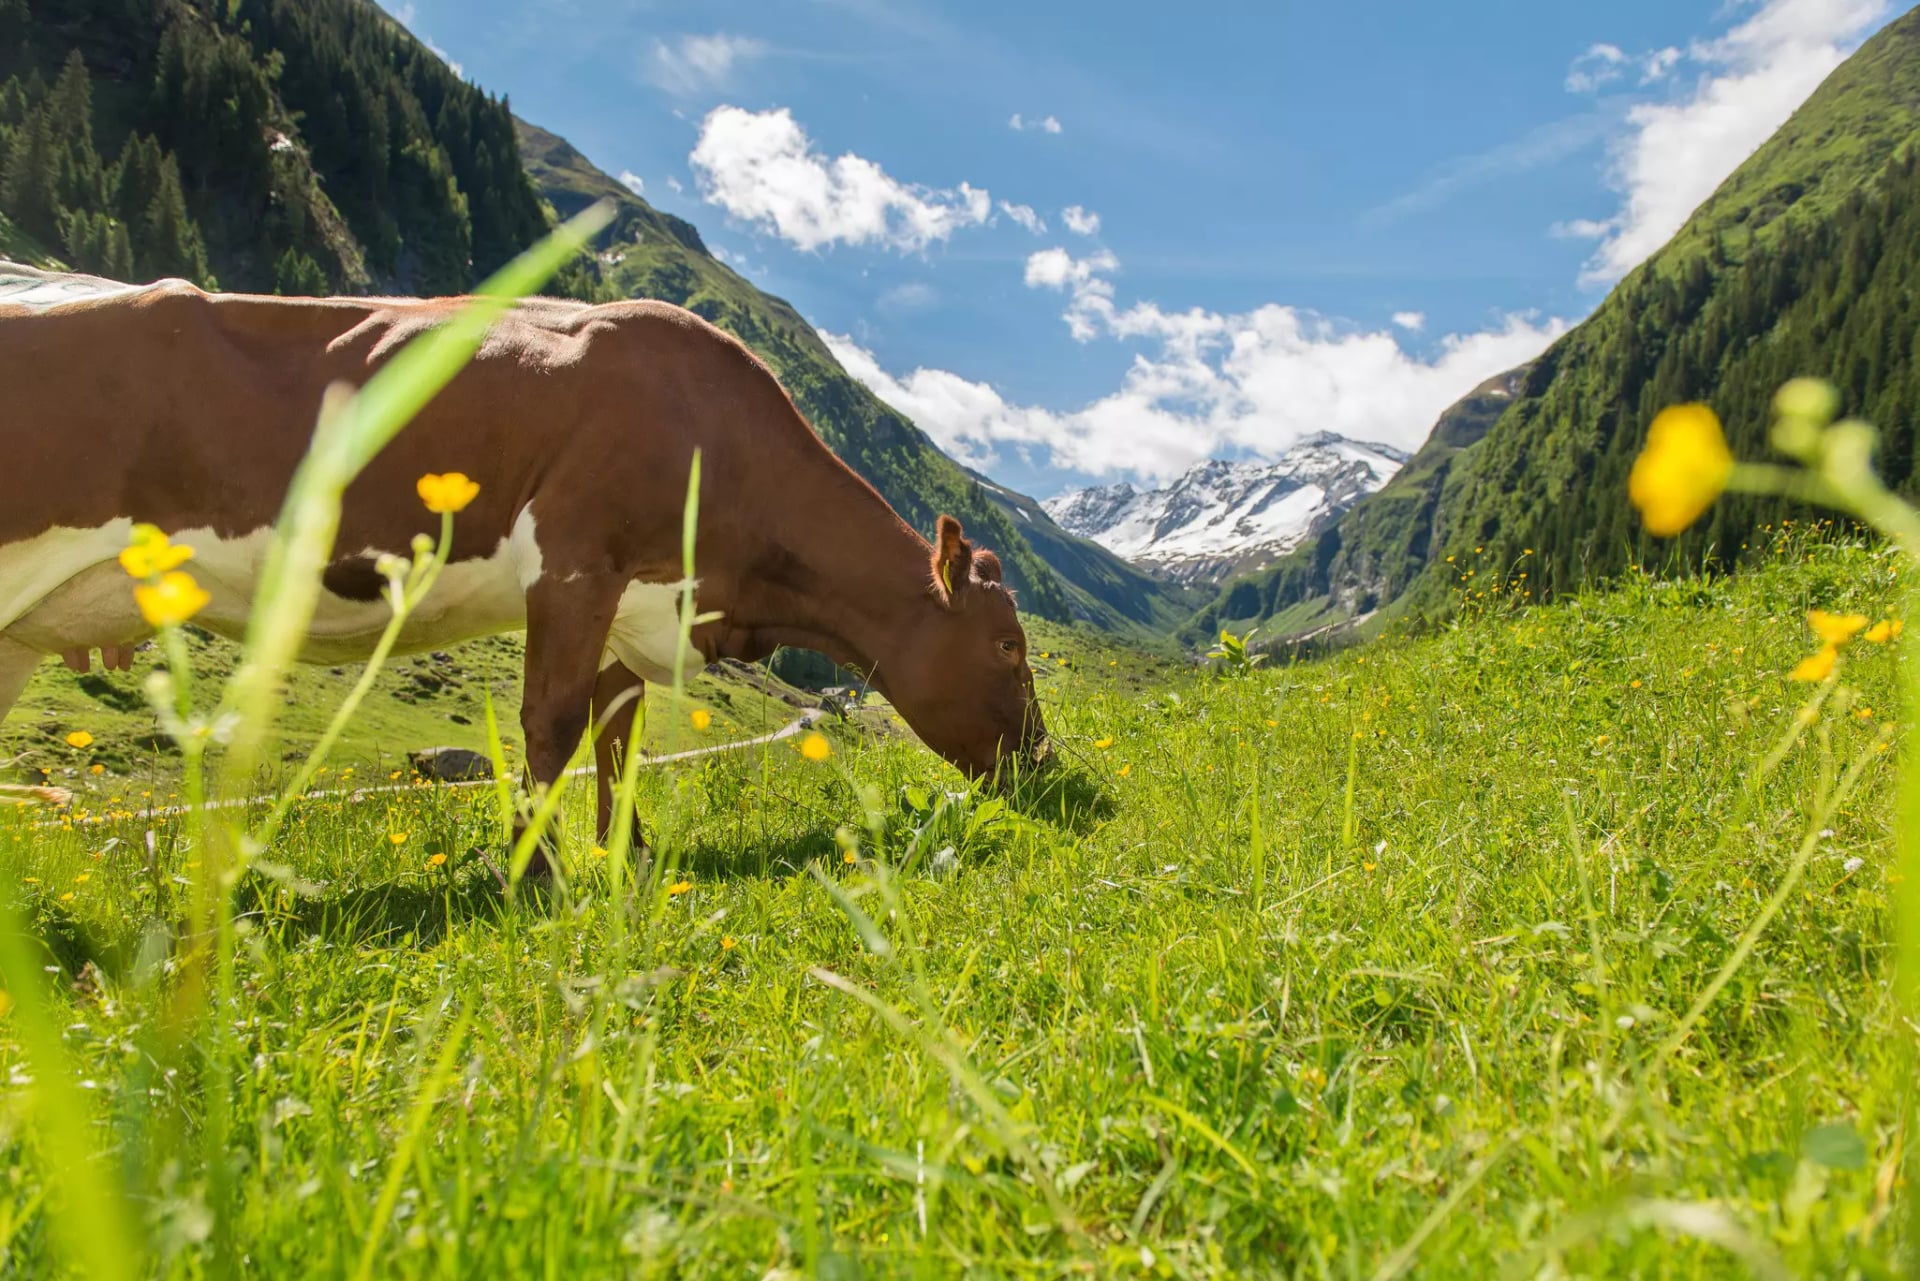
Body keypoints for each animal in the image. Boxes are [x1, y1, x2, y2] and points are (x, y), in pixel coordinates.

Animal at [0, 265, 1046, 865]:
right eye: (1007, 645)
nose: (1045, 762)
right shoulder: (578, 565)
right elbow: (550, 725)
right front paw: (536, 873)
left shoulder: (638, 602)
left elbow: (617, 737)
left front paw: (626, 854)